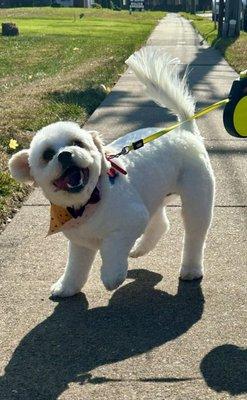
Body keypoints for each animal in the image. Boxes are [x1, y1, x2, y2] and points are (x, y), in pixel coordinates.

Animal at [8, 47, 214, 296]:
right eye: (47, 155)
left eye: (78, 143)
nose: (65, 154)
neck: (87, 203)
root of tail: (184, 131)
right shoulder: (80, 242)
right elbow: (75, 267)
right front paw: (66, 287)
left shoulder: (130, 220)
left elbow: (112, 246)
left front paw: (111, 275)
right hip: (153, 193)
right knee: (160, 224)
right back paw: (140, 249)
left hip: (197, 197)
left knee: (195, 235)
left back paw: (191, 269)